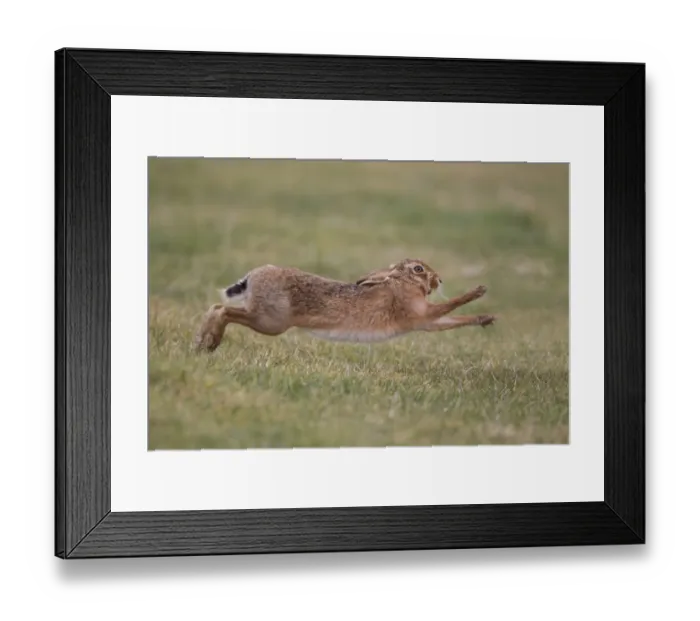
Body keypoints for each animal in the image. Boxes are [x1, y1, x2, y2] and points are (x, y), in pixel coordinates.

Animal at [193, 258, 496, 352]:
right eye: (419, 269)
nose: (439, 279)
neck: (401, 283)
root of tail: (253, 277)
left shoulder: (425, 321)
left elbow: (450, 321)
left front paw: (487, 318)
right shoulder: (418, 312)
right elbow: (449, 307)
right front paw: (479, 291)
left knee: (216, 308)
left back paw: (201, 342)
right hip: (270, 321)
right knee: (224, 310)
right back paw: (211, 342)